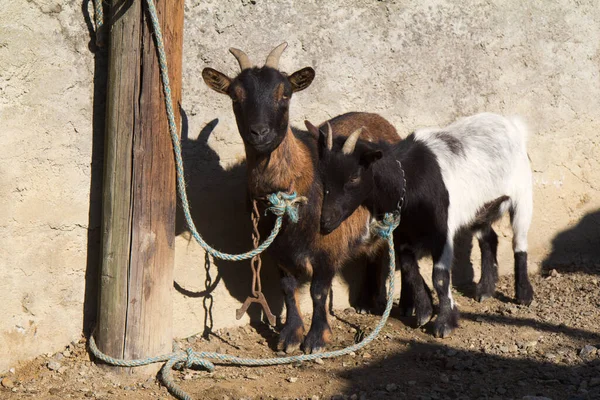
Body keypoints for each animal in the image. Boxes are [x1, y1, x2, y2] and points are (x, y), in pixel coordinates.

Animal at [314, 113, 536, 338]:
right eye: (323, 178)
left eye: (354, 177)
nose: (325, 222)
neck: (407, 179)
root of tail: (511, 123)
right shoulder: (402, 232)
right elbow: (409, 268)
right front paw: (424, 310)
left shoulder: (442, 231)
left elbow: (439, 276)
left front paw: (444, 323)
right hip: (480, 209)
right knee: (489, 238)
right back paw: (485, 289)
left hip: (523, 194)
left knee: (519, 242)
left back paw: (524, 294)